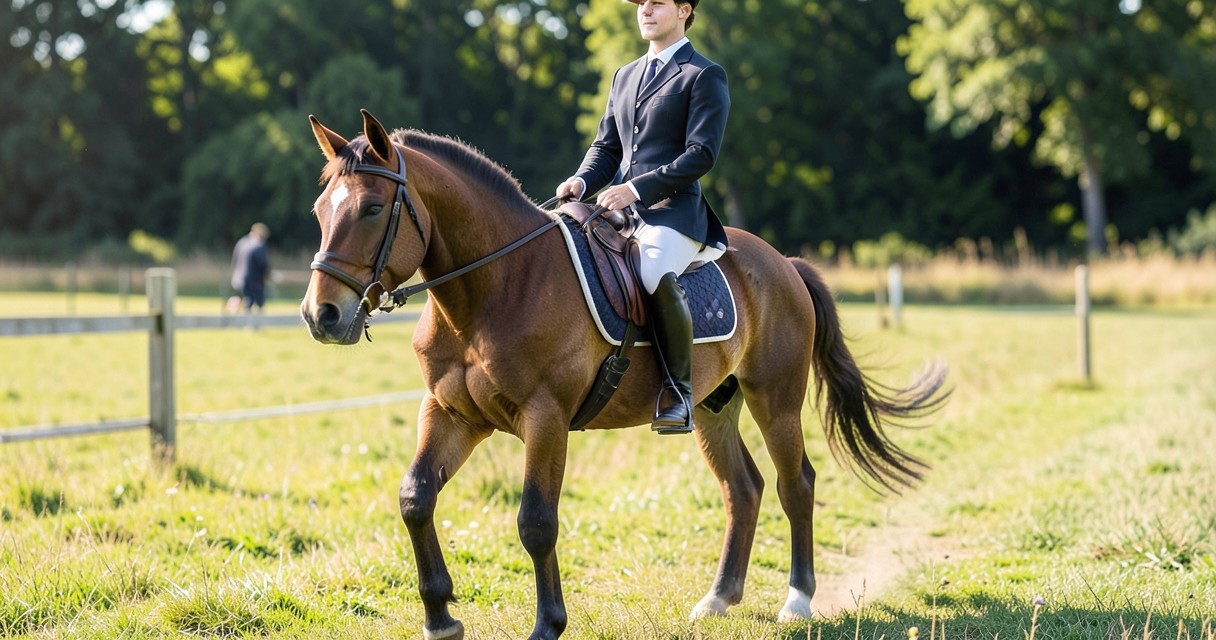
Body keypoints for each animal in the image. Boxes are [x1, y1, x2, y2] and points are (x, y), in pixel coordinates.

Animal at [300, 110, 949, 640]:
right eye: (320, 211)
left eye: (373, 208)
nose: (320, 315)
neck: (495, 287)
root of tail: (782, 263)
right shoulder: (451, 413)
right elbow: (415, 498)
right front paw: (440, 618)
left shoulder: (545, 418)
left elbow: (536, 521)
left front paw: (547, 626)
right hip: (711, 407)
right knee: (743, 489)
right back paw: (718, 600)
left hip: (776, 401)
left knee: (797, 485)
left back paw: (798, 601)